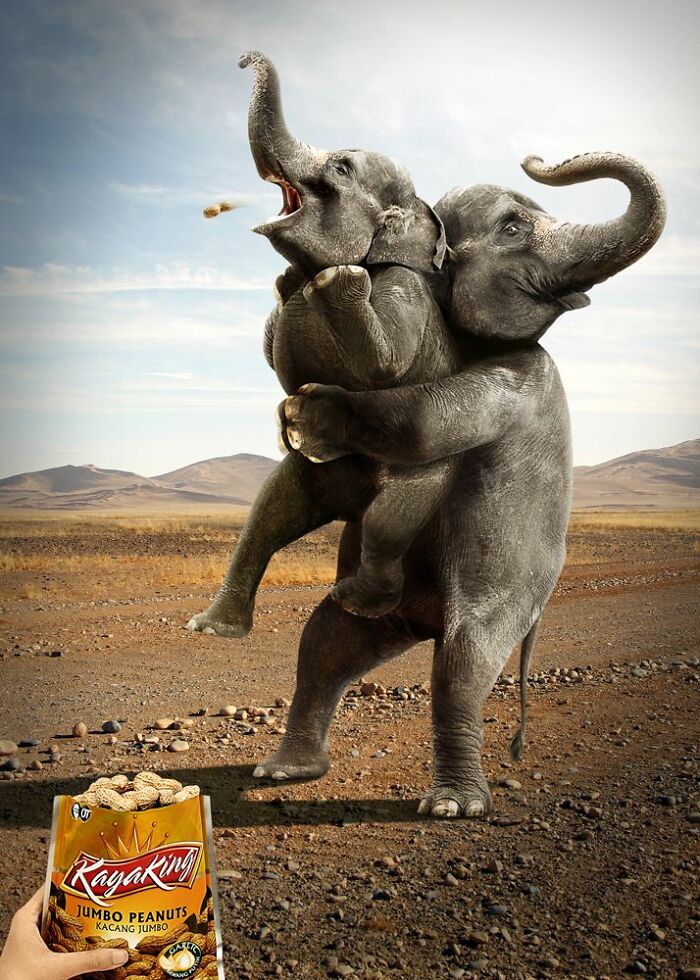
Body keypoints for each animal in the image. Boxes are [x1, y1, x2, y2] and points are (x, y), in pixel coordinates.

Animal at [188, 49, 462, 635]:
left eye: (340, 169)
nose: (241, 60)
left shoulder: (406, 288)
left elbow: (386, 364)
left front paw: (337, 278)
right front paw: (287, 281)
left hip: (427, 468)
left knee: (389, 518)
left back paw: (359, 604)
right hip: (318, 472)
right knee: (270, 509)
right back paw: (212, 628)